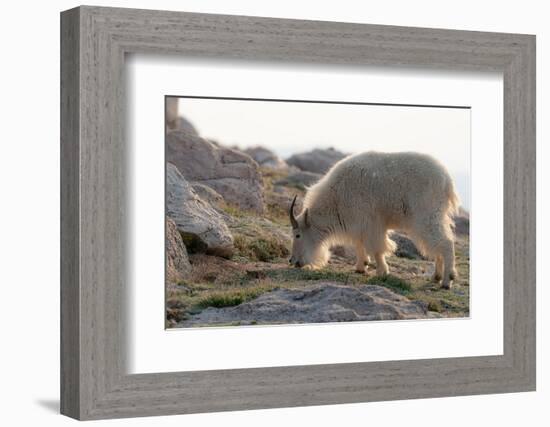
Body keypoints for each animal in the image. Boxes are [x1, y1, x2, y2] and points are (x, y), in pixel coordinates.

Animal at [288, 152, 462, 290]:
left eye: (298, 235)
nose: (293, 261)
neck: (335, 199)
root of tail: (447, 181)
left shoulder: (370, 222)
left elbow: (377, 248)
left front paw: (382, 271)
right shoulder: (359, 223)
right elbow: (359, 244)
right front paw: (361, 267)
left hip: (426, 216)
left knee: (445, 243)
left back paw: (447, 281)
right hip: (434, 217)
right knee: (439, 245)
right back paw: (436, 277)